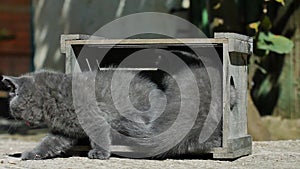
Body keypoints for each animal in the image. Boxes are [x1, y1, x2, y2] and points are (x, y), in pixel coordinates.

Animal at [0, 65, 223, 160]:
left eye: (13, 104)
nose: (11, 114)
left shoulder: (94, 119)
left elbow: (99, 136)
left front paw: (99, 153)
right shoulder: (63, 132)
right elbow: (48, 143)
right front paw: (32, 154)